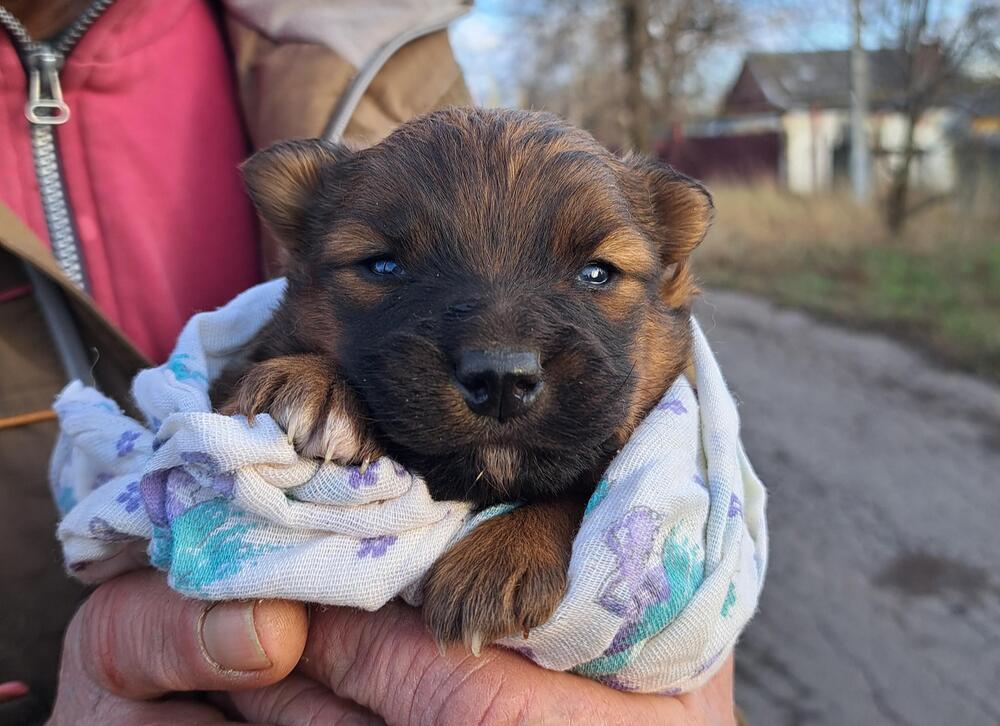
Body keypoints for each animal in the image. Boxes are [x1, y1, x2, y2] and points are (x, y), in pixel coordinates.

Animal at [213, 106, 712, 656]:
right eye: (383, 265)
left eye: (597, 273)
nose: (501, 380)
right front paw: (314, 386)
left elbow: (582, 491)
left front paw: (501, 558)